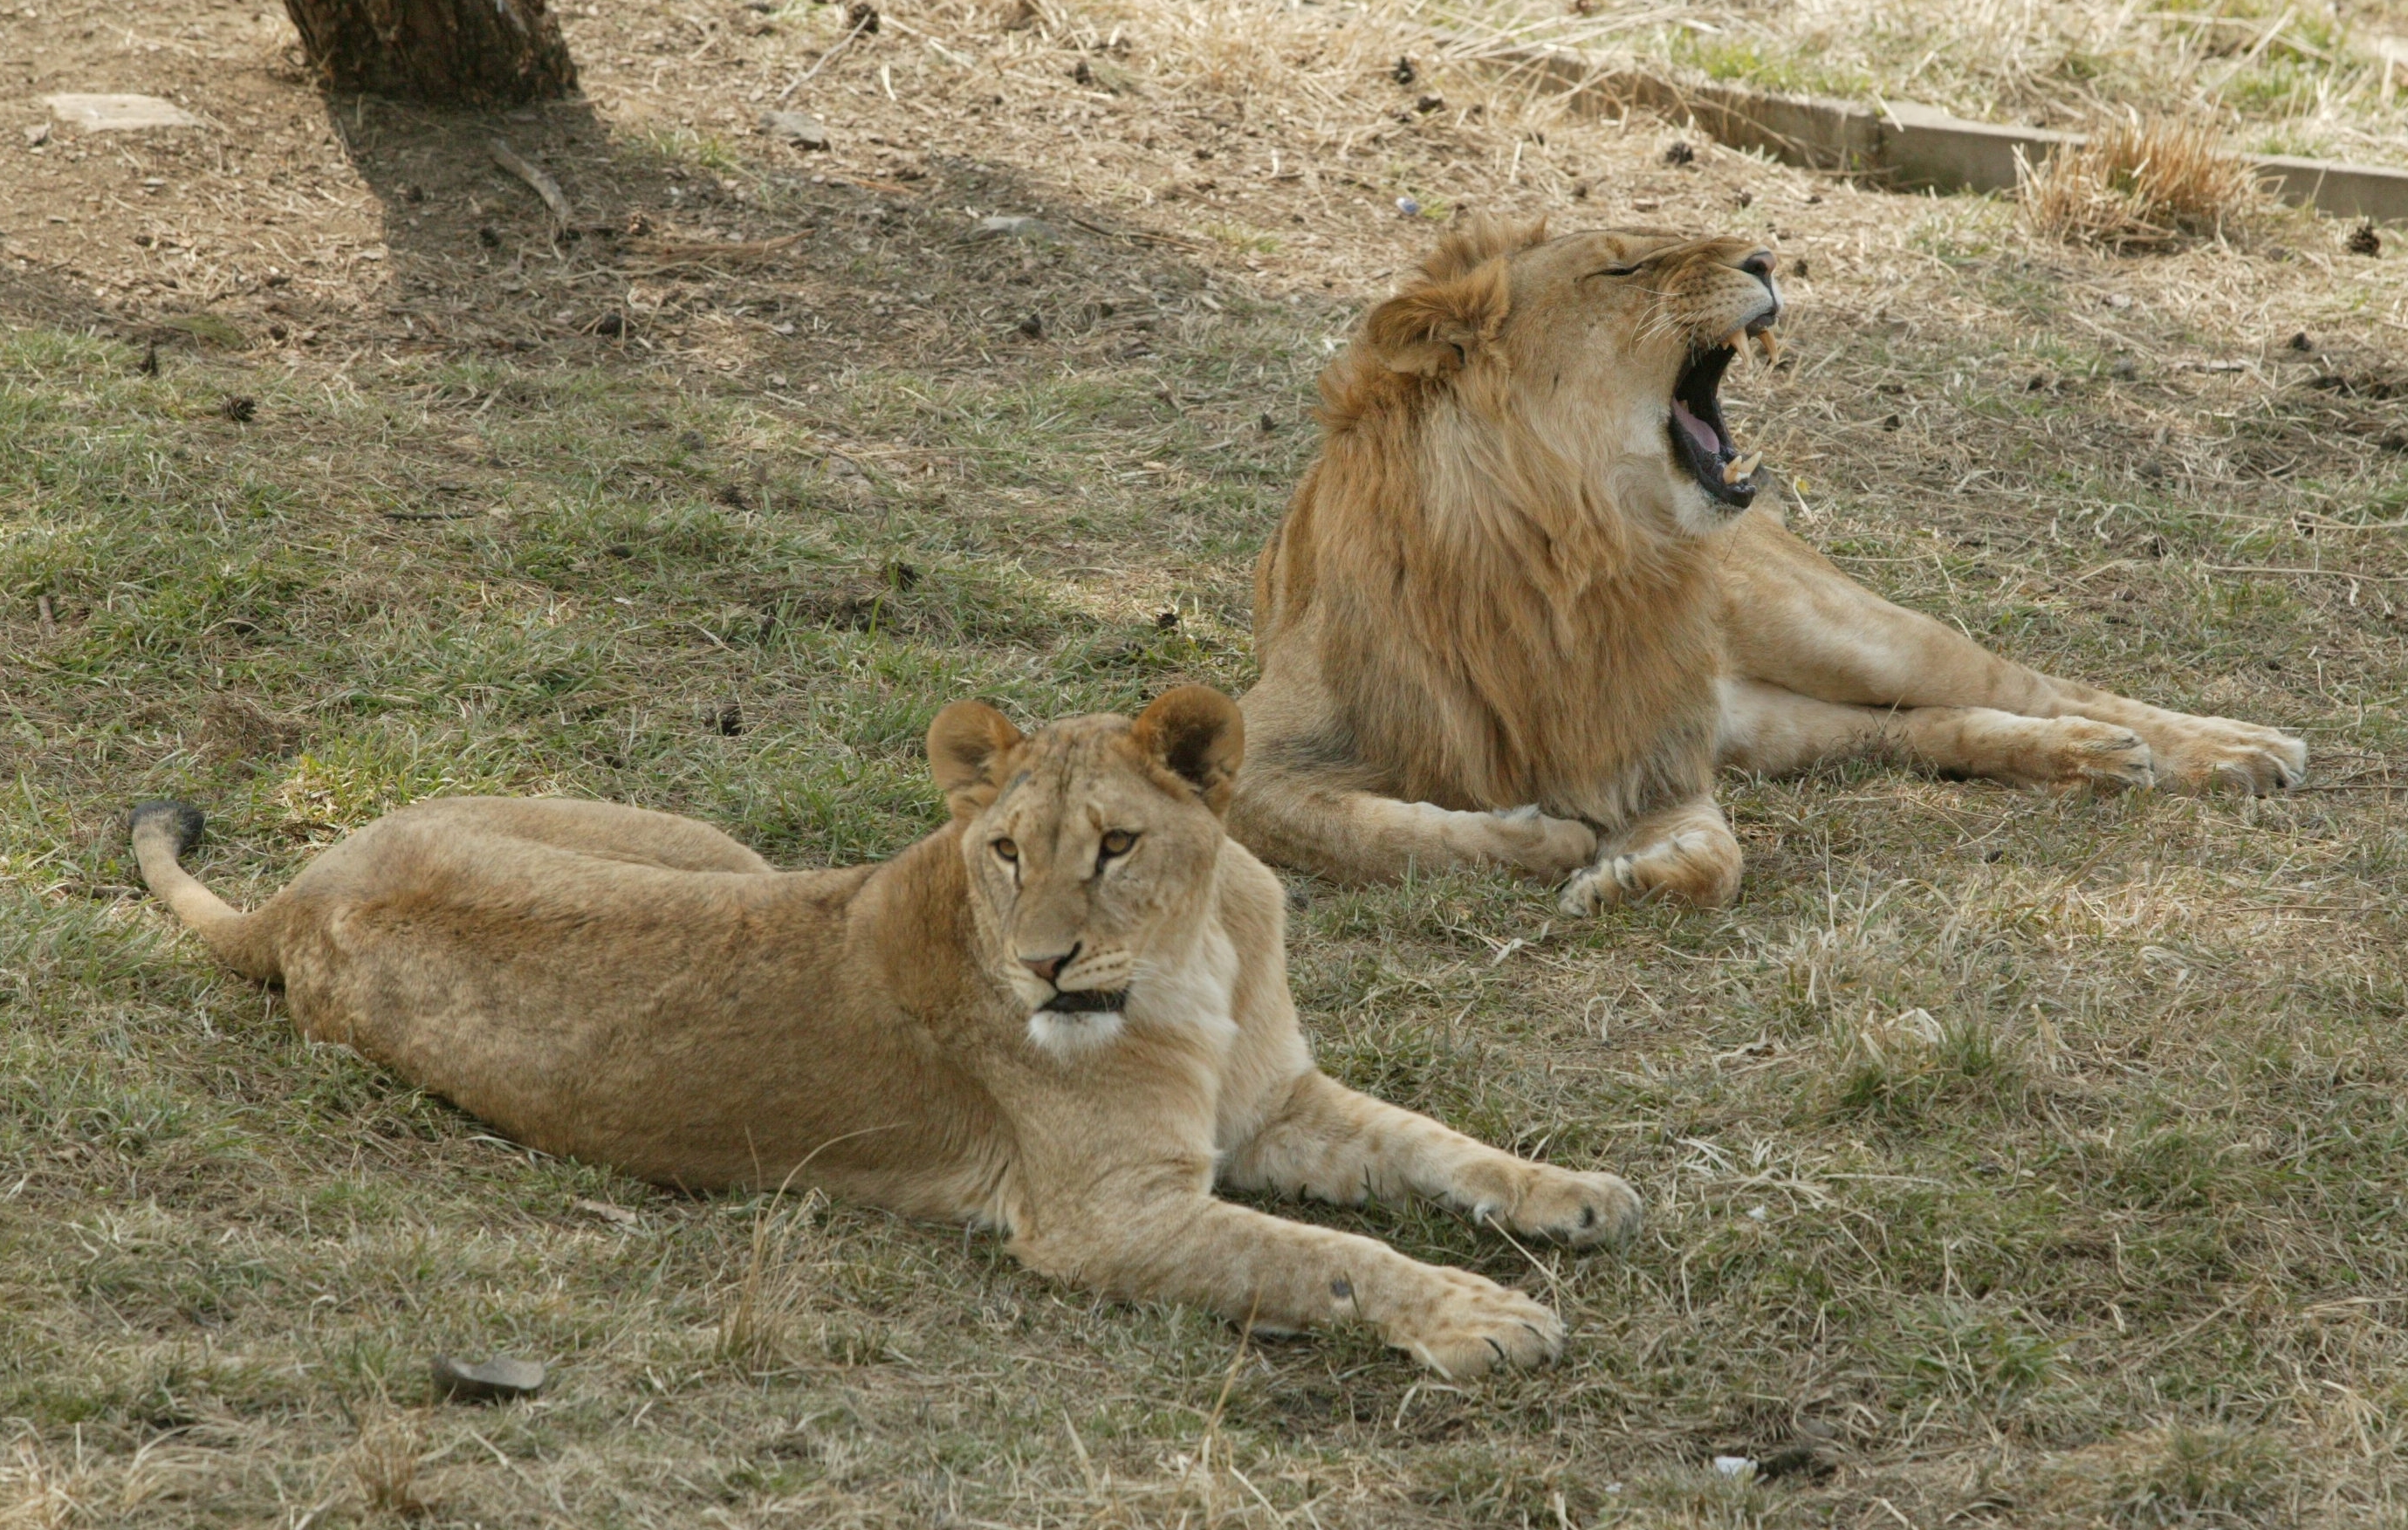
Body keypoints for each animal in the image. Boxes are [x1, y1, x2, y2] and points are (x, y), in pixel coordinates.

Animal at [127, 689, 1637, 1378]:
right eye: (1006, 851)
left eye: (1116, 843)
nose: (1042, 967)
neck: (1194, 958)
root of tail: (302, 892)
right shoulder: (1100, 1217)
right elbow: (1325, 1257)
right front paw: (1481, 1316)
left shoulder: (1273, 1104)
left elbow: (1433, 1142)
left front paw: (1575, 1195)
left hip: (719, 850)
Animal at [1232, 217, 2302, 910]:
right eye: (1623, 268)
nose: (1762, 256)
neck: (1574, 550)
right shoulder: (1254, 749)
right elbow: (1380, 837)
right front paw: (1547, 840)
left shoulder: (1658, 757)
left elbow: (1716, 863)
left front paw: (1623, 873)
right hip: (1769, 725)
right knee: (1917, 728)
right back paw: (2090, 757)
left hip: (1840, 633)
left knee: (2032, 682)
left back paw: (2237, 748)